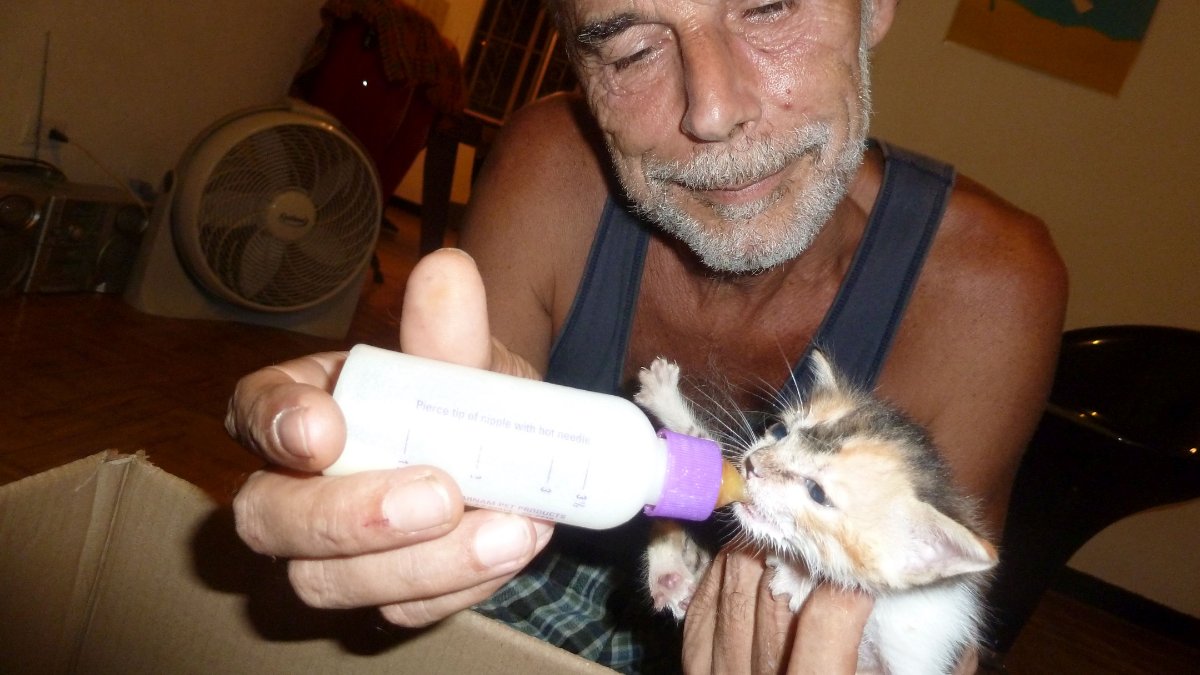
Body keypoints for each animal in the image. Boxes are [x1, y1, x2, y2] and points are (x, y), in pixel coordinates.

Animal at [633, 352, 999, 675]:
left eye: (817, 493)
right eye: (779, 432)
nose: (752, 466)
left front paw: (800, 578)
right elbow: (712, 454)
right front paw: (665, 400)